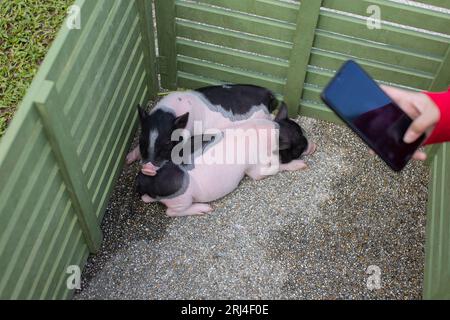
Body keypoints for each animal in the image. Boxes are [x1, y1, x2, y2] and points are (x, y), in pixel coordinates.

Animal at [135, 105, 314, 218]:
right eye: (299, 147)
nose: (313, 145)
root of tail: (146, 179)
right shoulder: (255, 169)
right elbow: (273, 169)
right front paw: (301, 164)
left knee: (147, 199)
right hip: (181, 198)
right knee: (171, 212)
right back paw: (204, 209)